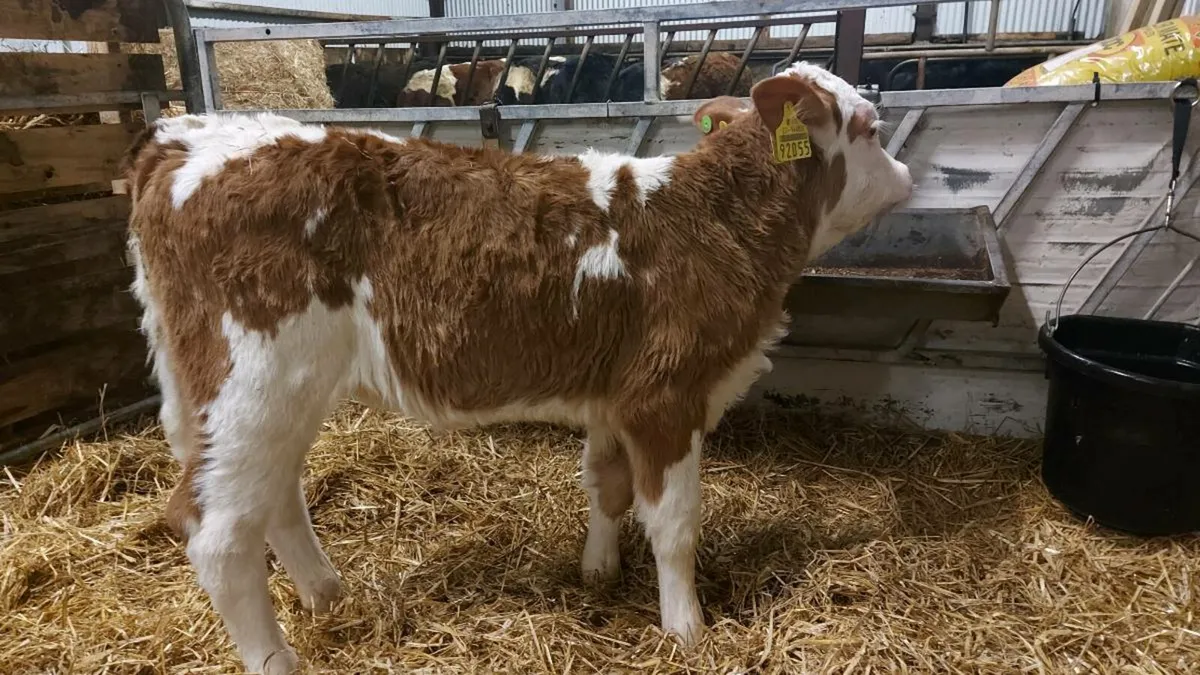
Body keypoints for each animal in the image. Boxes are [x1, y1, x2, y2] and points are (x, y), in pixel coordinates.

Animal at [121, 61, 912, 674]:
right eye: (872, 128)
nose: (907, 175)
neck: (716, 219)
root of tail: (186, 135)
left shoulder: (611, 394)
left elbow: (606, 485)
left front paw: (598, 571)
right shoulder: (666, 394)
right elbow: (675, 521)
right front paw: (686, 627)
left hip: (257, 391)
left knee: (275, 496)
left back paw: (327, 594)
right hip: (254, 381)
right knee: (217, 530)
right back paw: (277, 656)